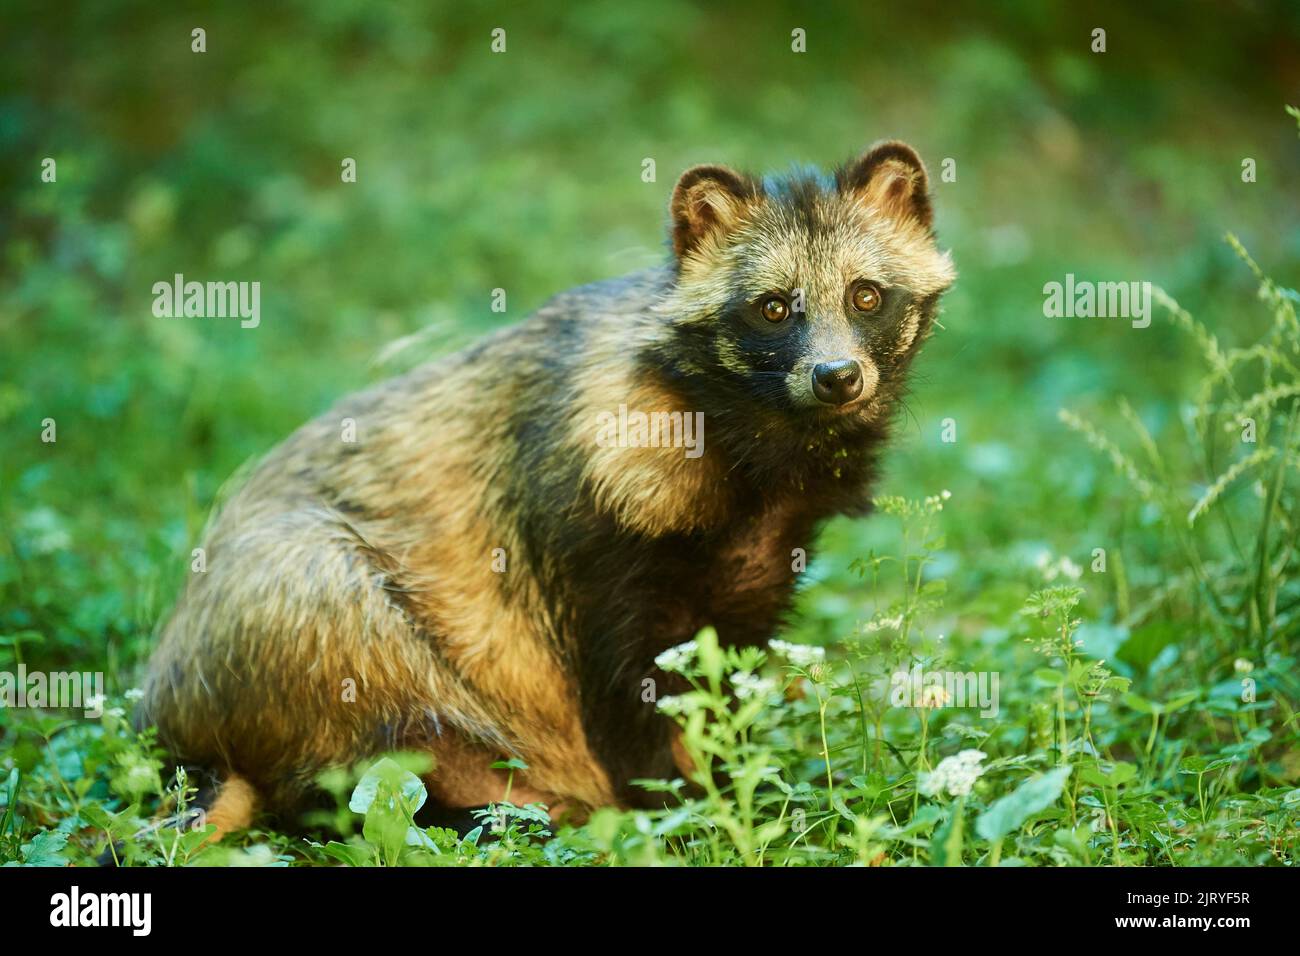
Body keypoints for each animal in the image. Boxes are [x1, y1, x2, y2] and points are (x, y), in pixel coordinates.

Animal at [140, 140, 955, 836]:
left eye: (867, 295)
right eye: (773, 307)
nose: (837, 377)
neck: (755, 455)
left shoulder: (755, 566)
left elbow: (723, 684)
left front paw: (728, 785)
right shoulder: (594, 524)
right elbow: (621, 692)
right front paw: (674, 810)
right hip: (298, 608)